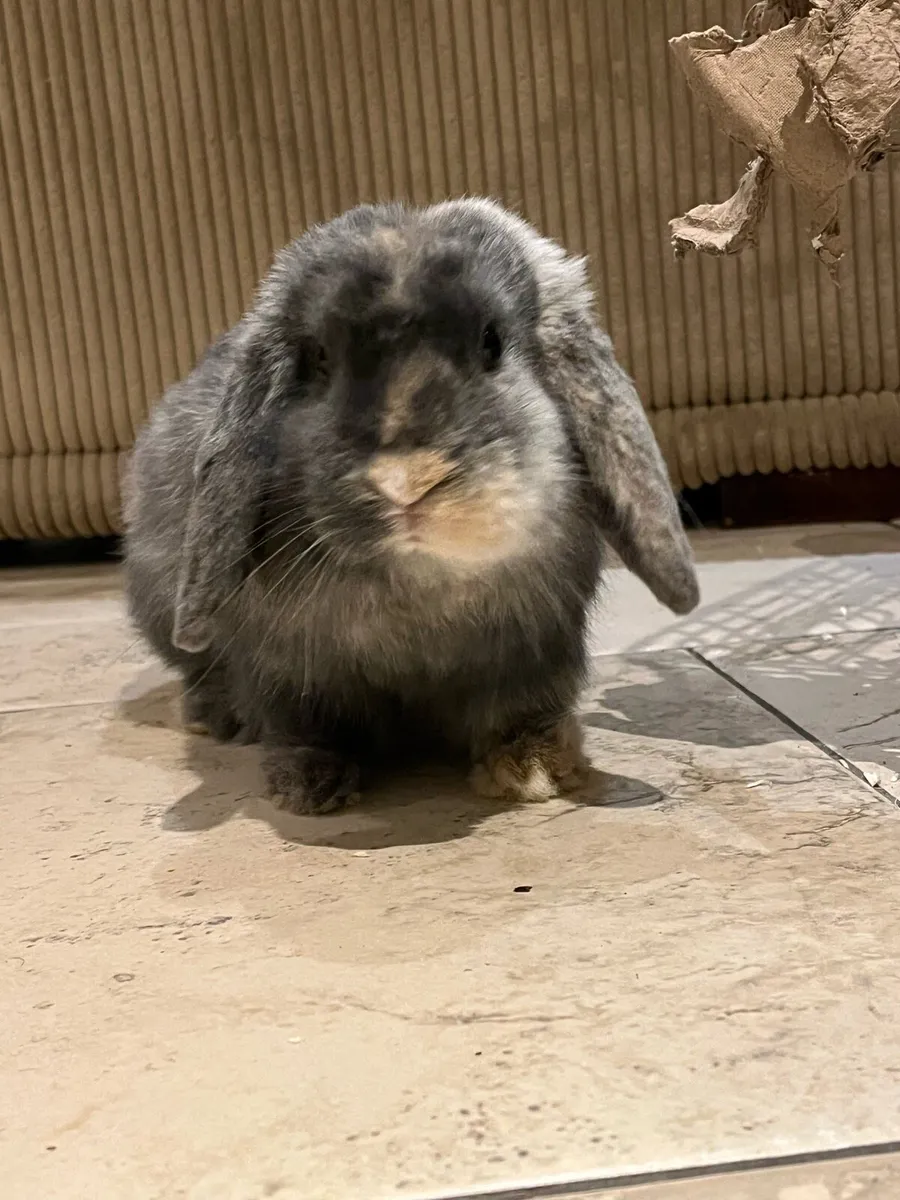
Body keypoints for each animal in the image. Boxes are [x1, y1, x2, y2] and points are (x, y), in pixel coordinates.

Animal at [123, 198, 699, 814]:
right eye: (319, 358)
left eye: (492, 342)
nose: (405, 481)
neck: (420, 583)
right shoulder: (288, 669)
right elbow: (304, 725)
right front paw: (307, 786)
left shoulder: (538, 651)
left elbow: (522, 711)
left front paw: (534, 771)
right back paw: (218, 718)